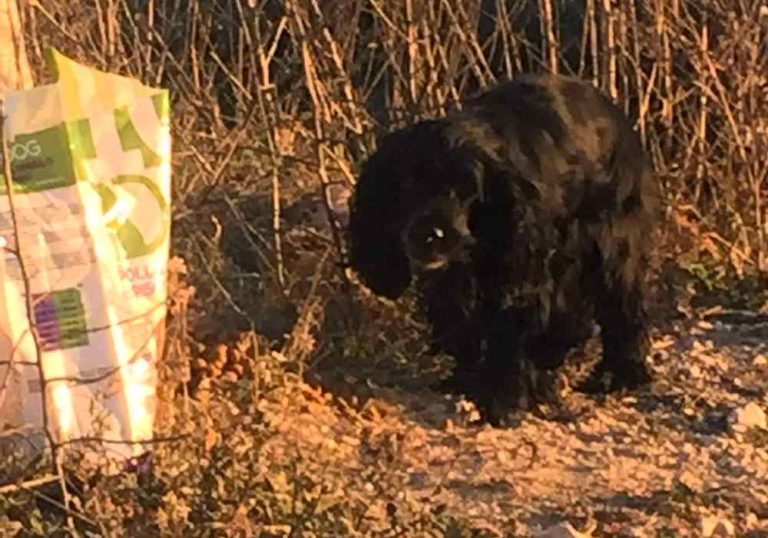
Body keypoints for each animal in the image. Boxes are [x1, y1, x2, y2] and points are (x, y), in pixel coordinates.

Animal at [348, 73, 660, 422]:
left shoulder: (524, 264)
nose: (430, 236)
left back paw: (616, 374)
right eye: (408, 183)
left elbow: (512, 331)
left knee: (621, 305)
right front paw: (469, 380)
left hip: (611, 240)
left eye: (467, 189)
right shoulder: (458, 278)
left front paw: (501, 397)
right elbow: (462, 324)